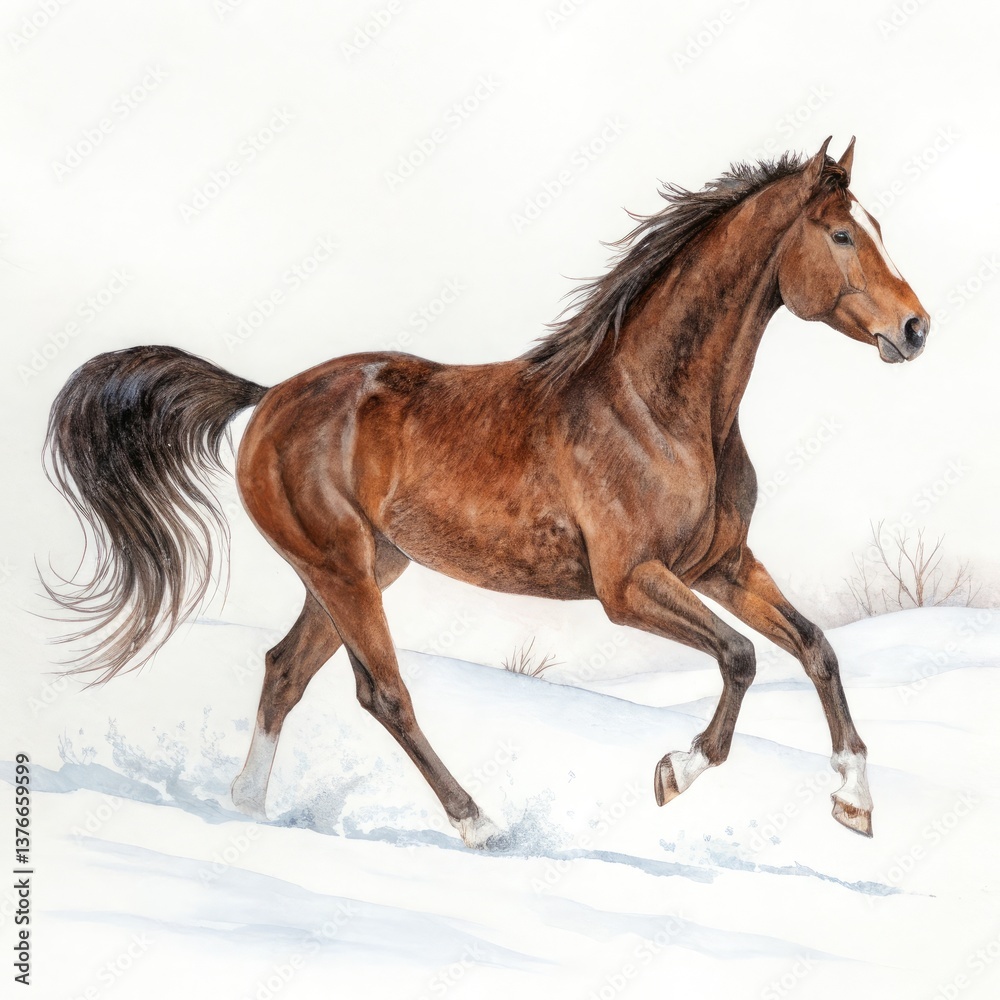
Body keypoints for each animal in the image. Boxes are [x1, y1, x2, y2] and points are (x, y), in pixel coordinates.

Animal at [44, 137, 928, 846]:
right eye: (842, 233)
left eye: (877, 228)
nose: (916, 329)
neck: (655, 408)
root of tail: (267, 398)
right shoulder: (629, 585)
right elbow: (741, 657)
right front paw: (676, 772)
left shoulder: (722, 564)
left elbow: (815, 646)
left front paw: (855, 803)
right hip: (341, 570)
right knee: (383, 694)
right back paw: (477, 823)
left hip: (360, 570)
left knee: (284, 672)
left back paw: (247, 808)